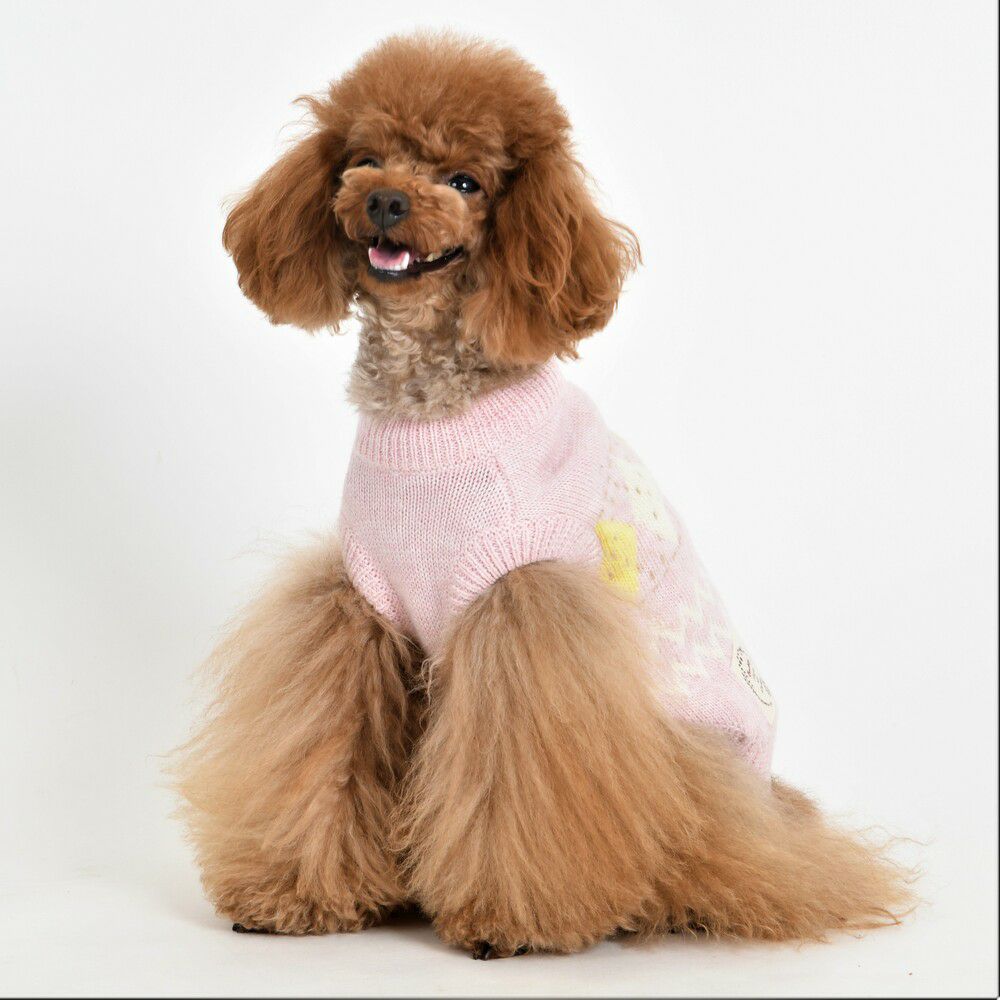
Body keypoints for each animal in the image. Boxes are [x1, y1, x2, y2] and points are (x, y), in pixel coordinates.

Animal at [174, 33, 910, 958]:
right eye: (365, 158)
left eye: (465, 182)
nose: (385, 201)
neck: (430, 411)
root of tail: (769, 803)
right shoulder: (358, 609)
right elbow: (326, 749)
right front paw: (293, 893)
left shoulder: (522, 615)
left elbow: (509, 779)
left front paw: (506, 921)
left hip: (686, 757)